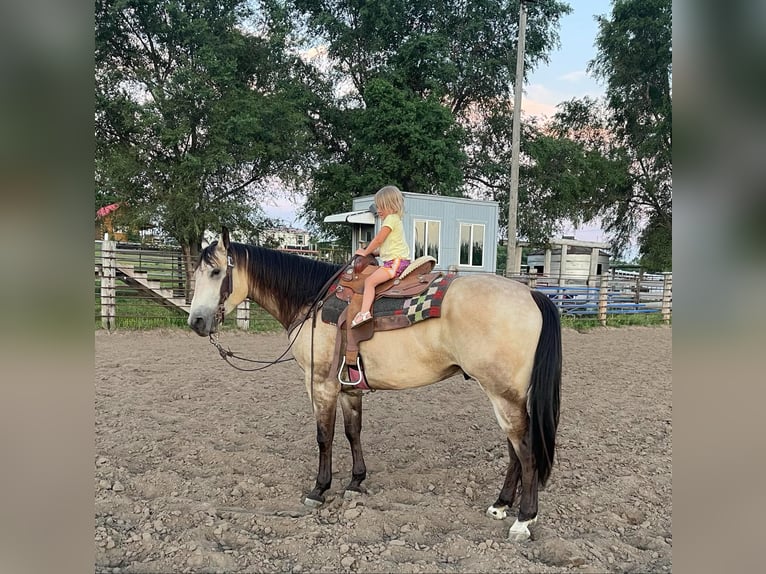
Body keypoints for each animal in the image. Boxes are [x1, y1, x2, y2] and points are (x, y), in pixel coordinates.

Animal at [188, 228, 561, 541]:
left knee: (525, 449)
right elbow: (353, 432)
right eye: (196, 274)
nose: (196, 322)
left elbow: (324, 437)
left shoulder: (320, 385)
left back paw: (523, 519)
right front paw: (356, 482)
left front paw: (319, 490)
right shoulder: (348, 388)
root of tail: (531, 295)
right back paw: (500, 505)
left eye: (216, 273)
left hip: (503, 395)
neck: (311, 302)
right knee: (514, 449)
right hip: (505, 395)